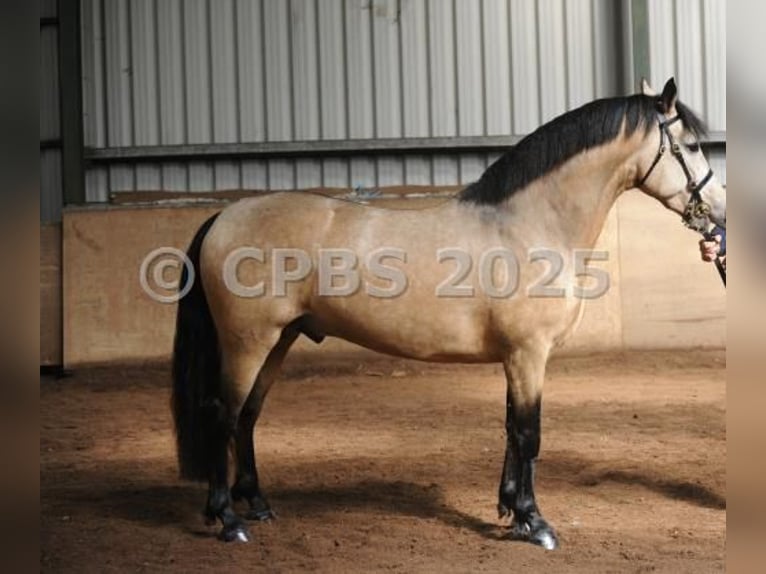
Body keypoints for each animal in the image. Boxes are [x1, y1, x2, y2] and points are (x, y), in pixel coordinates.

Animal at [171, 78, 726, 549]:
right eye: (693, 145)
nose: (718, 212)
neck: (529, 225)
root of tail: (225, 215)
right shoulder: (529, 355)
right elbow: (529, 434)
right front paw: (536, 523)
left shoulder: (517, 359)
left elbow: (510, 429)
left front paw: (511, 512)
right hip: (248, 342)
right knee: (222, 415)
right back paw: (229, 520)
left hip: (279, 340)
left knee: (247, 416)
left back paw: (259, 505)